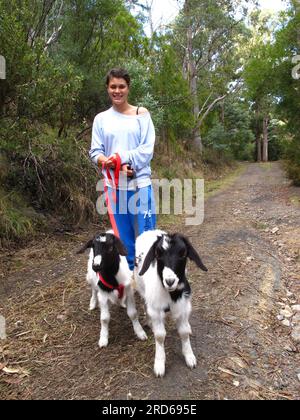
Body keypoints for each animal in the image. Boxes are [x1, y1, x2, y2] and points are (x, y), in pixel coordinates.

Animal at [135, 230, 207, 378]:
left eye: (183, 253)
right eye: (157, 254)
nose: (169, 281)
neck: (171, 295)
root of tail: (149, 231)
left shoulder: (184, 306)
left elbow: (184, 332)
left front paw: (189, 357)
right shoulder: (156, 310)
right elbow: (160, 336)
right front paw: (159, 364)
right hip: (142, 289)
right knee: (145, 303)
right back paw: (148, 322)